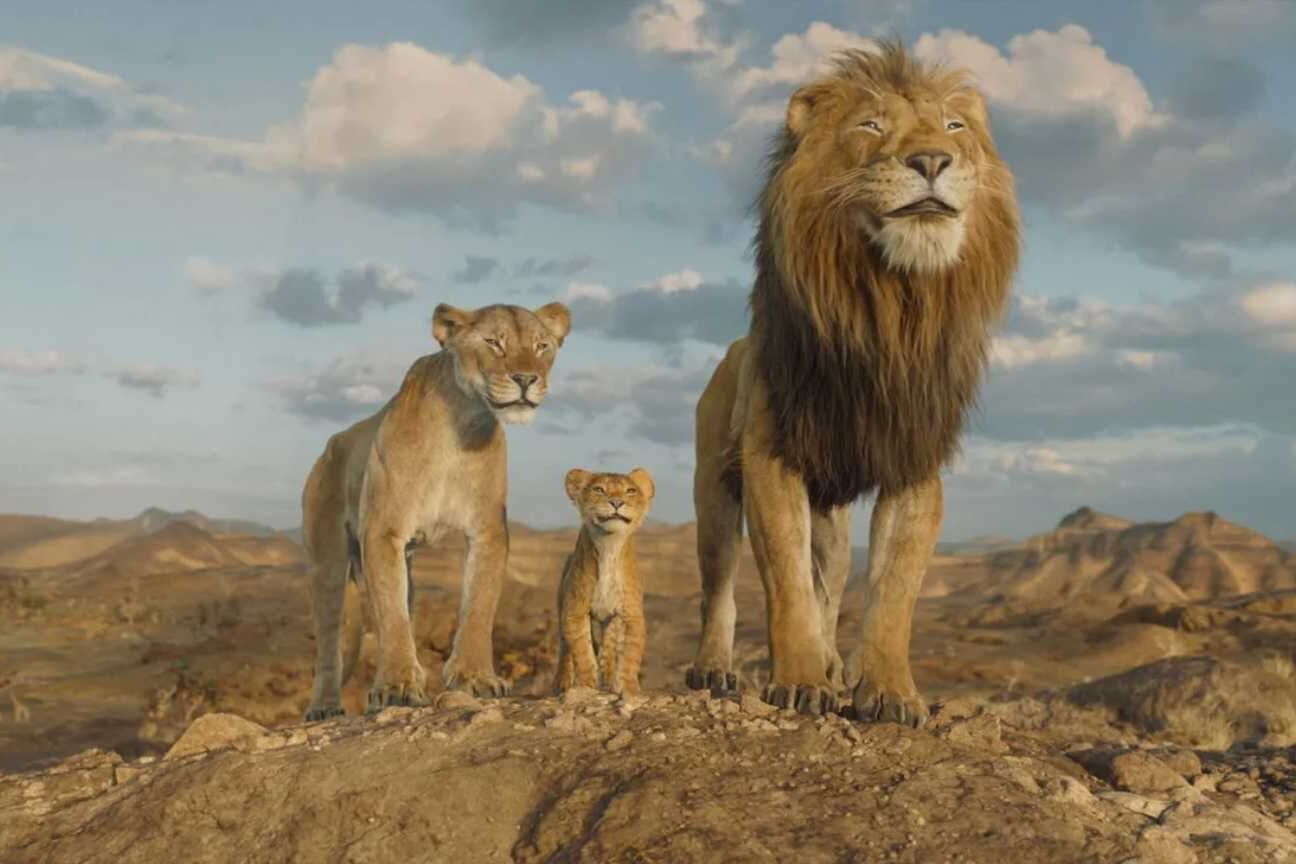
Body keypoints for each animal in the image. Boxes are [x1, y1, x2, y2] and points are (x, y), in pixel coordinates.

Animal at [301, 301, 571, 720]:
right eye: (494, 343)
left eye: (542, 345)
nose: (527, 378)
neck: (461, 424)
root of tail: (331, 445)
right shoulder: (383, 531)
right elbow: (391, 615)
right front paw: (396, 686)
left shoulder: (487, 529)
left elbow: (479, 604)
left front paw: (476, 677)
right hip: (327, 560)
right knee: (331, 638)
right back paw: (325, 707)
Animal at [554, 467, 655, 696]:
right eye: (599, 489)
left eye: (630, 491)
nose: (616, 502)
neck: (609, 546)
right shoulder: (575, 611)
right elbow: (582, 653)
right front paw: (586, 687)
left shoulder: (631, 614)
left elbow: (630, 656)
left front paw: (629, 689)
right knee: (565, 650)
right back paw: (561, 683)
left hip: (611, 621)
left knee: (609, 651)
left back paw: (609, 682)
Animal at [684, 42, 1020, 725]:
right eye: (870, 126)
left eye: (955, 127)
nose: (932, 160)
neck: (890, 307)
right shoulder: (771, 456)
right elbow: (786, 584)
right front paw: (799, 681)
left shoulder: (913, 460)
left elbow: (893, 591)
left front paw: (889, 692)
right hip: (713, 489)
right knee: (720, 585)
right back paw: (714, 669)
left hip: (832, 519)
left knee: (831, 582)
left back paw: (834, 662)